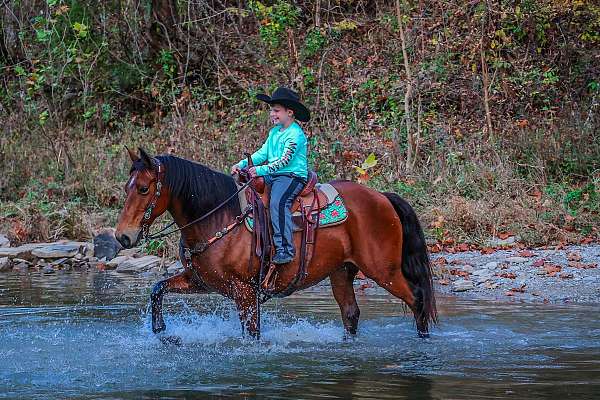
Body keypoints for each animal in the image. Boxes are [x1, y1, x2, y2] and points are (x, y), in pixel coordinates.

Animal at [116, 148, 436, 340]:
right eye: (126, 187)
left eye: (143, 189)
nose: (123, 236)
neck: (218, 216)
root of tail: (382, 197)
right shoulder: (201, 281)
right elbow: (158, 289)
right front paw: (161, 330)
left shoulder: (245, 292)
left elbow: (251, 334)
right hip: (341, 271)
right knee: (351, 314)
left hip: (384, 270)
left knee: (417, 299)